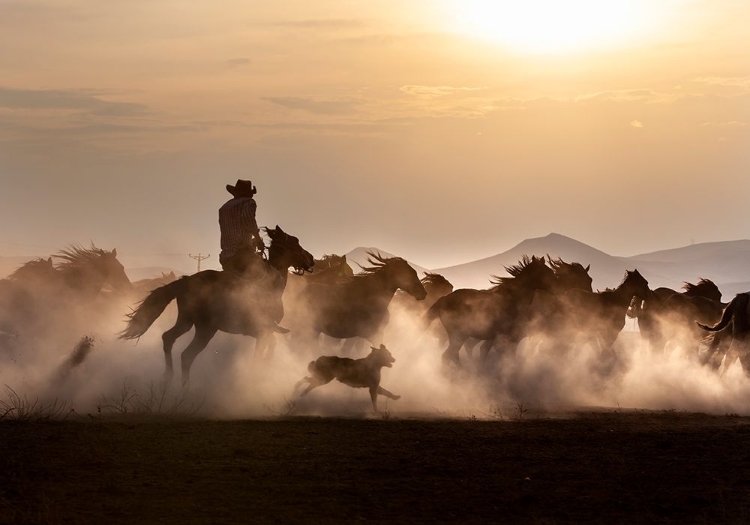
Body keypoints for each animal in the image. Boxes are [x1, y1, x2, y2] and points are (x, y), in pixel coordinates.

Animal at [120, 226, 314, 384]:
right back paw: (184, 389)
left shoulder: (258, 331)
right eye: (295, 241)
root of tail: (185, 281)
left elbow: (271, 346)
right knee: (187, 355)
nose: (311, 259)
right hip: (206, 329)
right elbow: (260, 354)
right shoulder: (262, 331)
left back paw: (168, 378)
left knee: (168, 338)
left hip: (186, 321)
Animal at [424, 256, 560, 366]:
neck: (512, 300)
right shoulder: (507, 339)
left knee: (453, 356)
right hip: (459, 335)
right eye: (546, 272)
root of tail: (443, 299)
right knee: (447, 356)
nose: (557, 288)